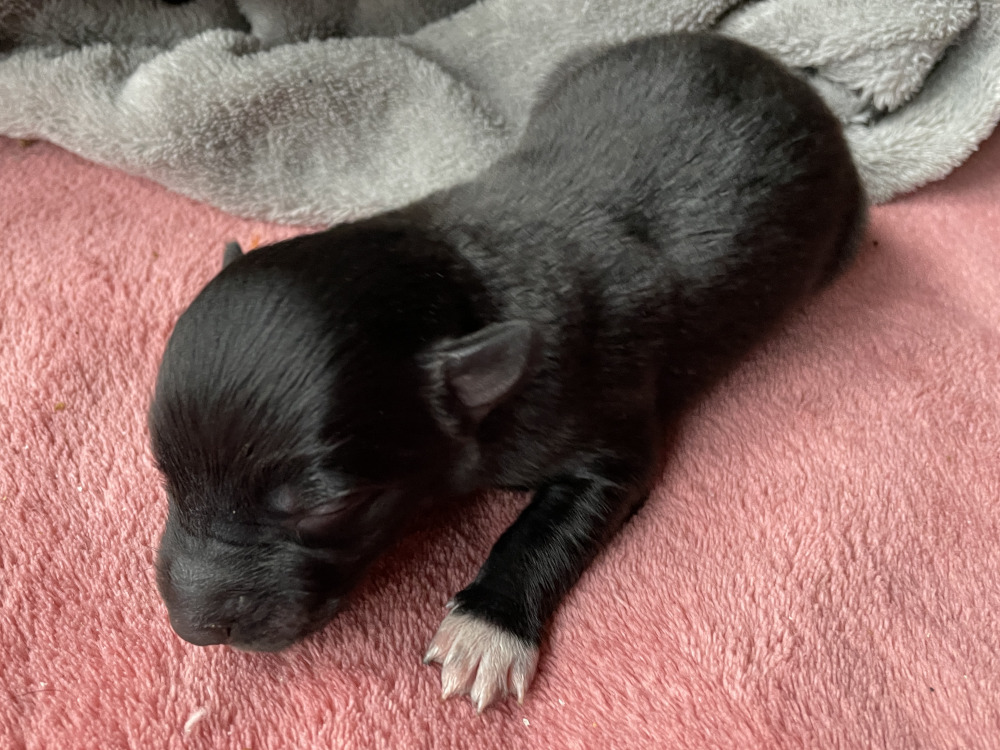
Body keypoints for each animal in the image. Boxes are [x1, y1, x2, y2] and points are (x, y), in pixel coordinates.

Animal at [150, 32, 865, 712]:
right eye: (163, 470)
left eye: (330, 509)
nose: (190, 627)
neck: (464, 279)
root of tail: (778, 68)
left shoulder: (599, 416)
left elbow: (557, 518)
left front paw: (488, 627)